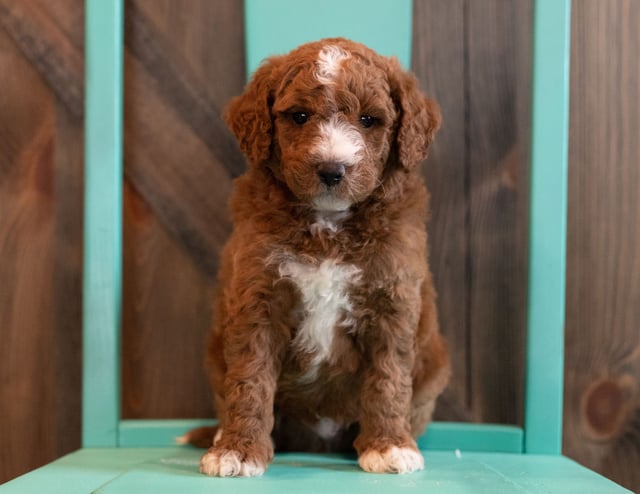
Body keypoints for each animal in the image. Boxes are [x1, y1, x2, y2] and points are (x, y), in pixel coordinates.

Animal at [190, 36, 450, 476]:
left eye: (368, 120)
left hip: (433, 372)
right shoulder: (258, 294)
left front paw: (388, 446)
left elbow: (388, 377)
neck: (328, 226)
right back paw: (223, 434)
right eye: (299, 116)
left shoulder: (392, 298)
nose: (332, 169)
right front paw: (238, 450)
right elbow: (250, 377)